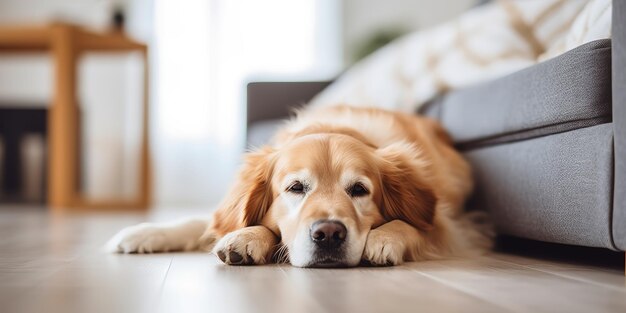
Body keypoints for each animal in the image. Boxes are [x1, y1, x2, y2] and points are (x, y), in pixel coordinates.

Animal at [107, 105, 490, 266]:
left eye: (359, 190)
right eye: (295, 188)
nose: (329, 234)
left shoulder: (452, 225)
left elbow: (413, 225)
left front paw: (384, 238)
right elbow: (208, 221)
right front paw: (142, 233)